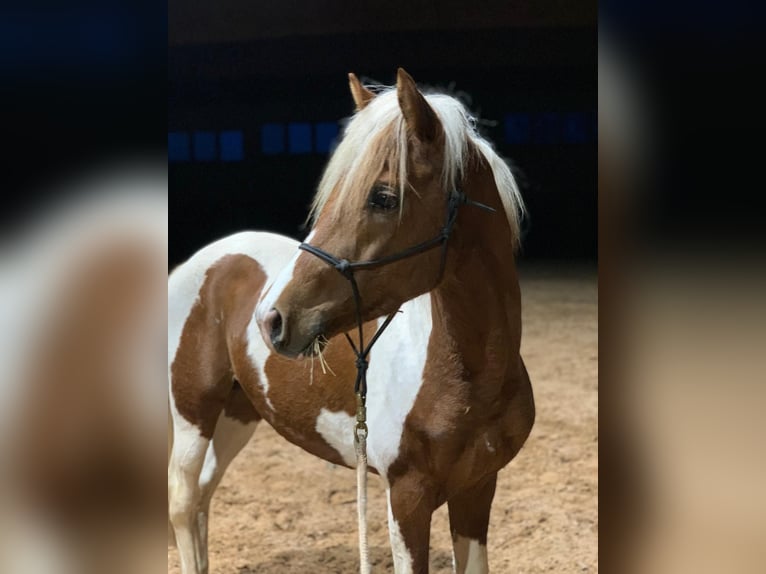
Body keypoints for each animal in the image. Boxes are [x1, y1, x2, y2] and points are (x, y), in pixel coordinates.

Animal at [170, 68, 536, 574]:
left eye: (383, 197)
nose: (272, 319)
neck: (465, 376)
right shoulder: (406, 496)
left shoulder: (478, 489)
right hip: (192, 413)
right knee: (184, 501)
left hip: (237, 412)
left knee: (205, 493)